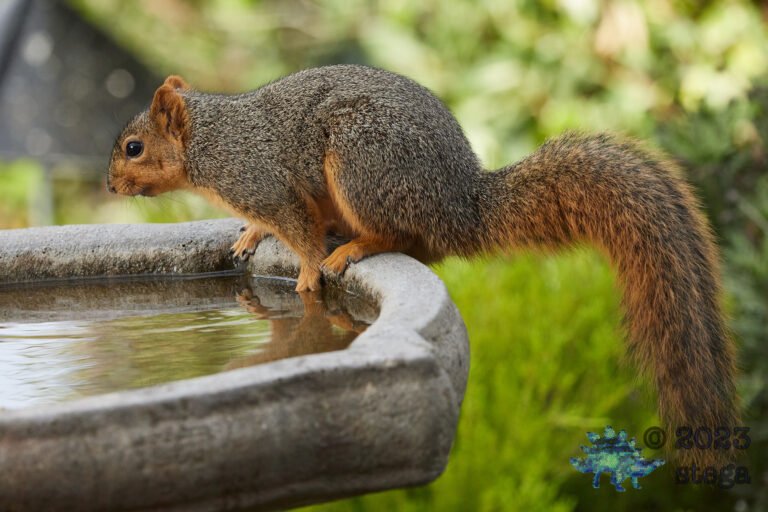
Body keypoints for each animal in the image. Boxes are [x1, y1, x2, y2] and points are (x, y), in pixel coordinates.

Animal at [107, 64, 738, 467]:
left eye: (134, 148)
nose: (109, 187)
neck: (210, 141)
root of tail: (461, 204)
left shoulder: (261, 180)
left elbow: (298, 231)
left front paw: (307, 273)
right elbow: (275, 226)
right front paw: (250, 237)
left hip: (364, 162)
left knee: (404, 236)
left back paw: (352, 248)